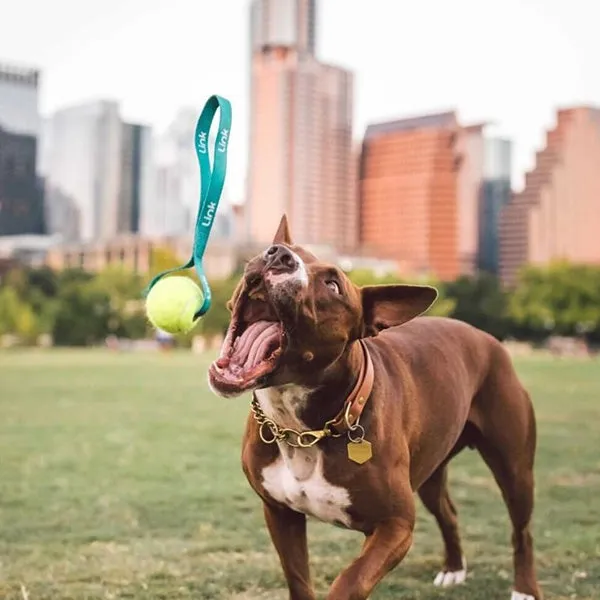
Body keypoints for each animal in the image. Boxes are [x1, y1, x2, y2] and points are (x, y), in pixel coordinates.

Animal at [209, 217, 540, 600]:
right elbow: (298, 579)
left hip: (514, 469)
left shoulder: (395, 526)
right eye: (281, 249)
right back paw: (453, 568)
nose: (278, 255)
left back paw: (525, 589)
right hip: (431, 469)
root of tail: (486, 338)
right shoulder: (280, 513)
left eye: (333, 285)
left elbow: (350, 581)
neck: (303, 428)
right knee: (449, 513)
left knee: (522, 531)